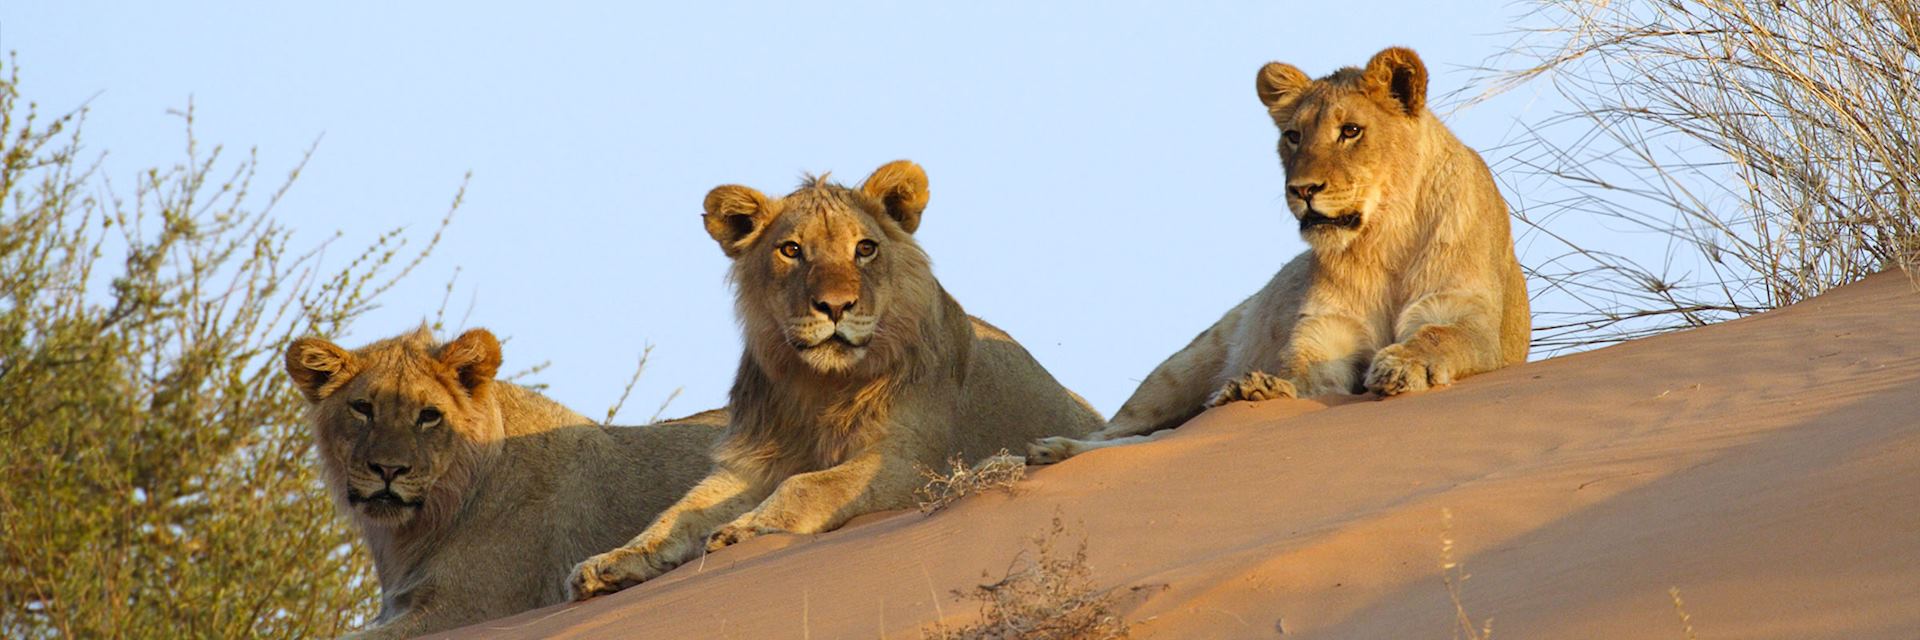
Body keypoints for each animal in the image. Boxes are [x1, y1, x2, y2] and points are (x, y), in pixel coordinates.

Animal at [560, 159, 1105, 599]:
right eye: (791, 250)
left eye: (865, 248)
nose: (835, 306)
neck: (819, 387)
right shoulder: (748, 465)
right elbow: (676, 513)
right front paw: (609, 562)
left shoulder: (914, 464)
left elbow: (809, 485)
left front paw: (746, 529)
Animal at [1029, 46, 1536, 463]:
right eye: (1293, 136)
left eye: (1351, 130)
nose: (1303, 190)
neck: (1381, 242)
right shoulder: (1326, 335)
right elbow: (1304, 378)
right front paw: (1259, 390)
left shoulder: (1466, 317)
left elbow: (1437, 336)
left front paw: (1399, 367)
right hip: (1180, 370)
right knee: (1124, 436)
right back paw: (1048, 451)